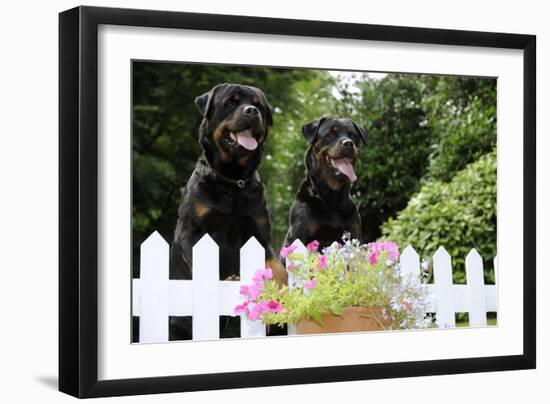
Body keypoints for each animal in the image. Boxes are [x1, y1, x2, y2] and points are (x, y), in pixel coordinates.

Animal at [170, 82, 286, 286]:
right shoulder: (191, 231)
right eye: (231, 103)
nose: (252, 111)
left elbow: (277, 267)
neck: (232, 179)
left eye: (259, 106)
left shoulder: (260, 234)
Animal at [284, 117, 366, 249]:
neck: (332, 198)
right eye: (330, 134)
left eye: (353, 135)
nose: (348, 143)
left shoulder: (354, 234)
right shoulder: (298, 235)